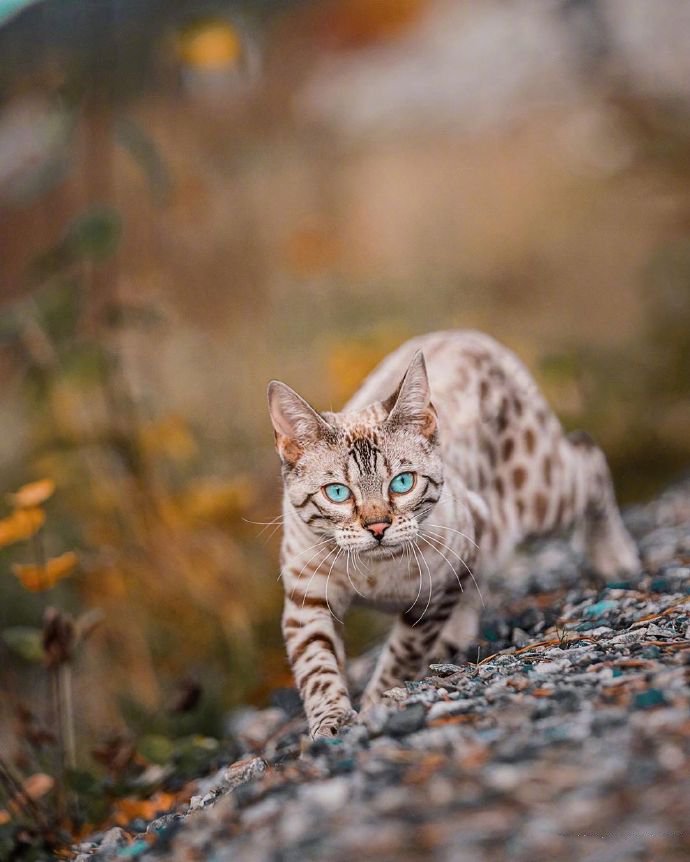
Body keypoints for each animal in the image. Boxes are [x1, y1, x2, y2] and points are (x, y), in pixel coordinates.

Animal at [266, 330, 636, 736]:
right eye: (337, 493)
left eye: (402, 483)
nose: (378, 527)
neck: (373, 574)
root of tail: (465, 335)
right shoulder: (308, 599)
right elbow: (317, 667)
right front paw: (330, 724)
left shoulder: (433, 593)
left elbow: (403, 654)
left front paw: (379, 702)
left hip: (541, 494)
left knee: (589, 457)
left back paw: (614, 557)